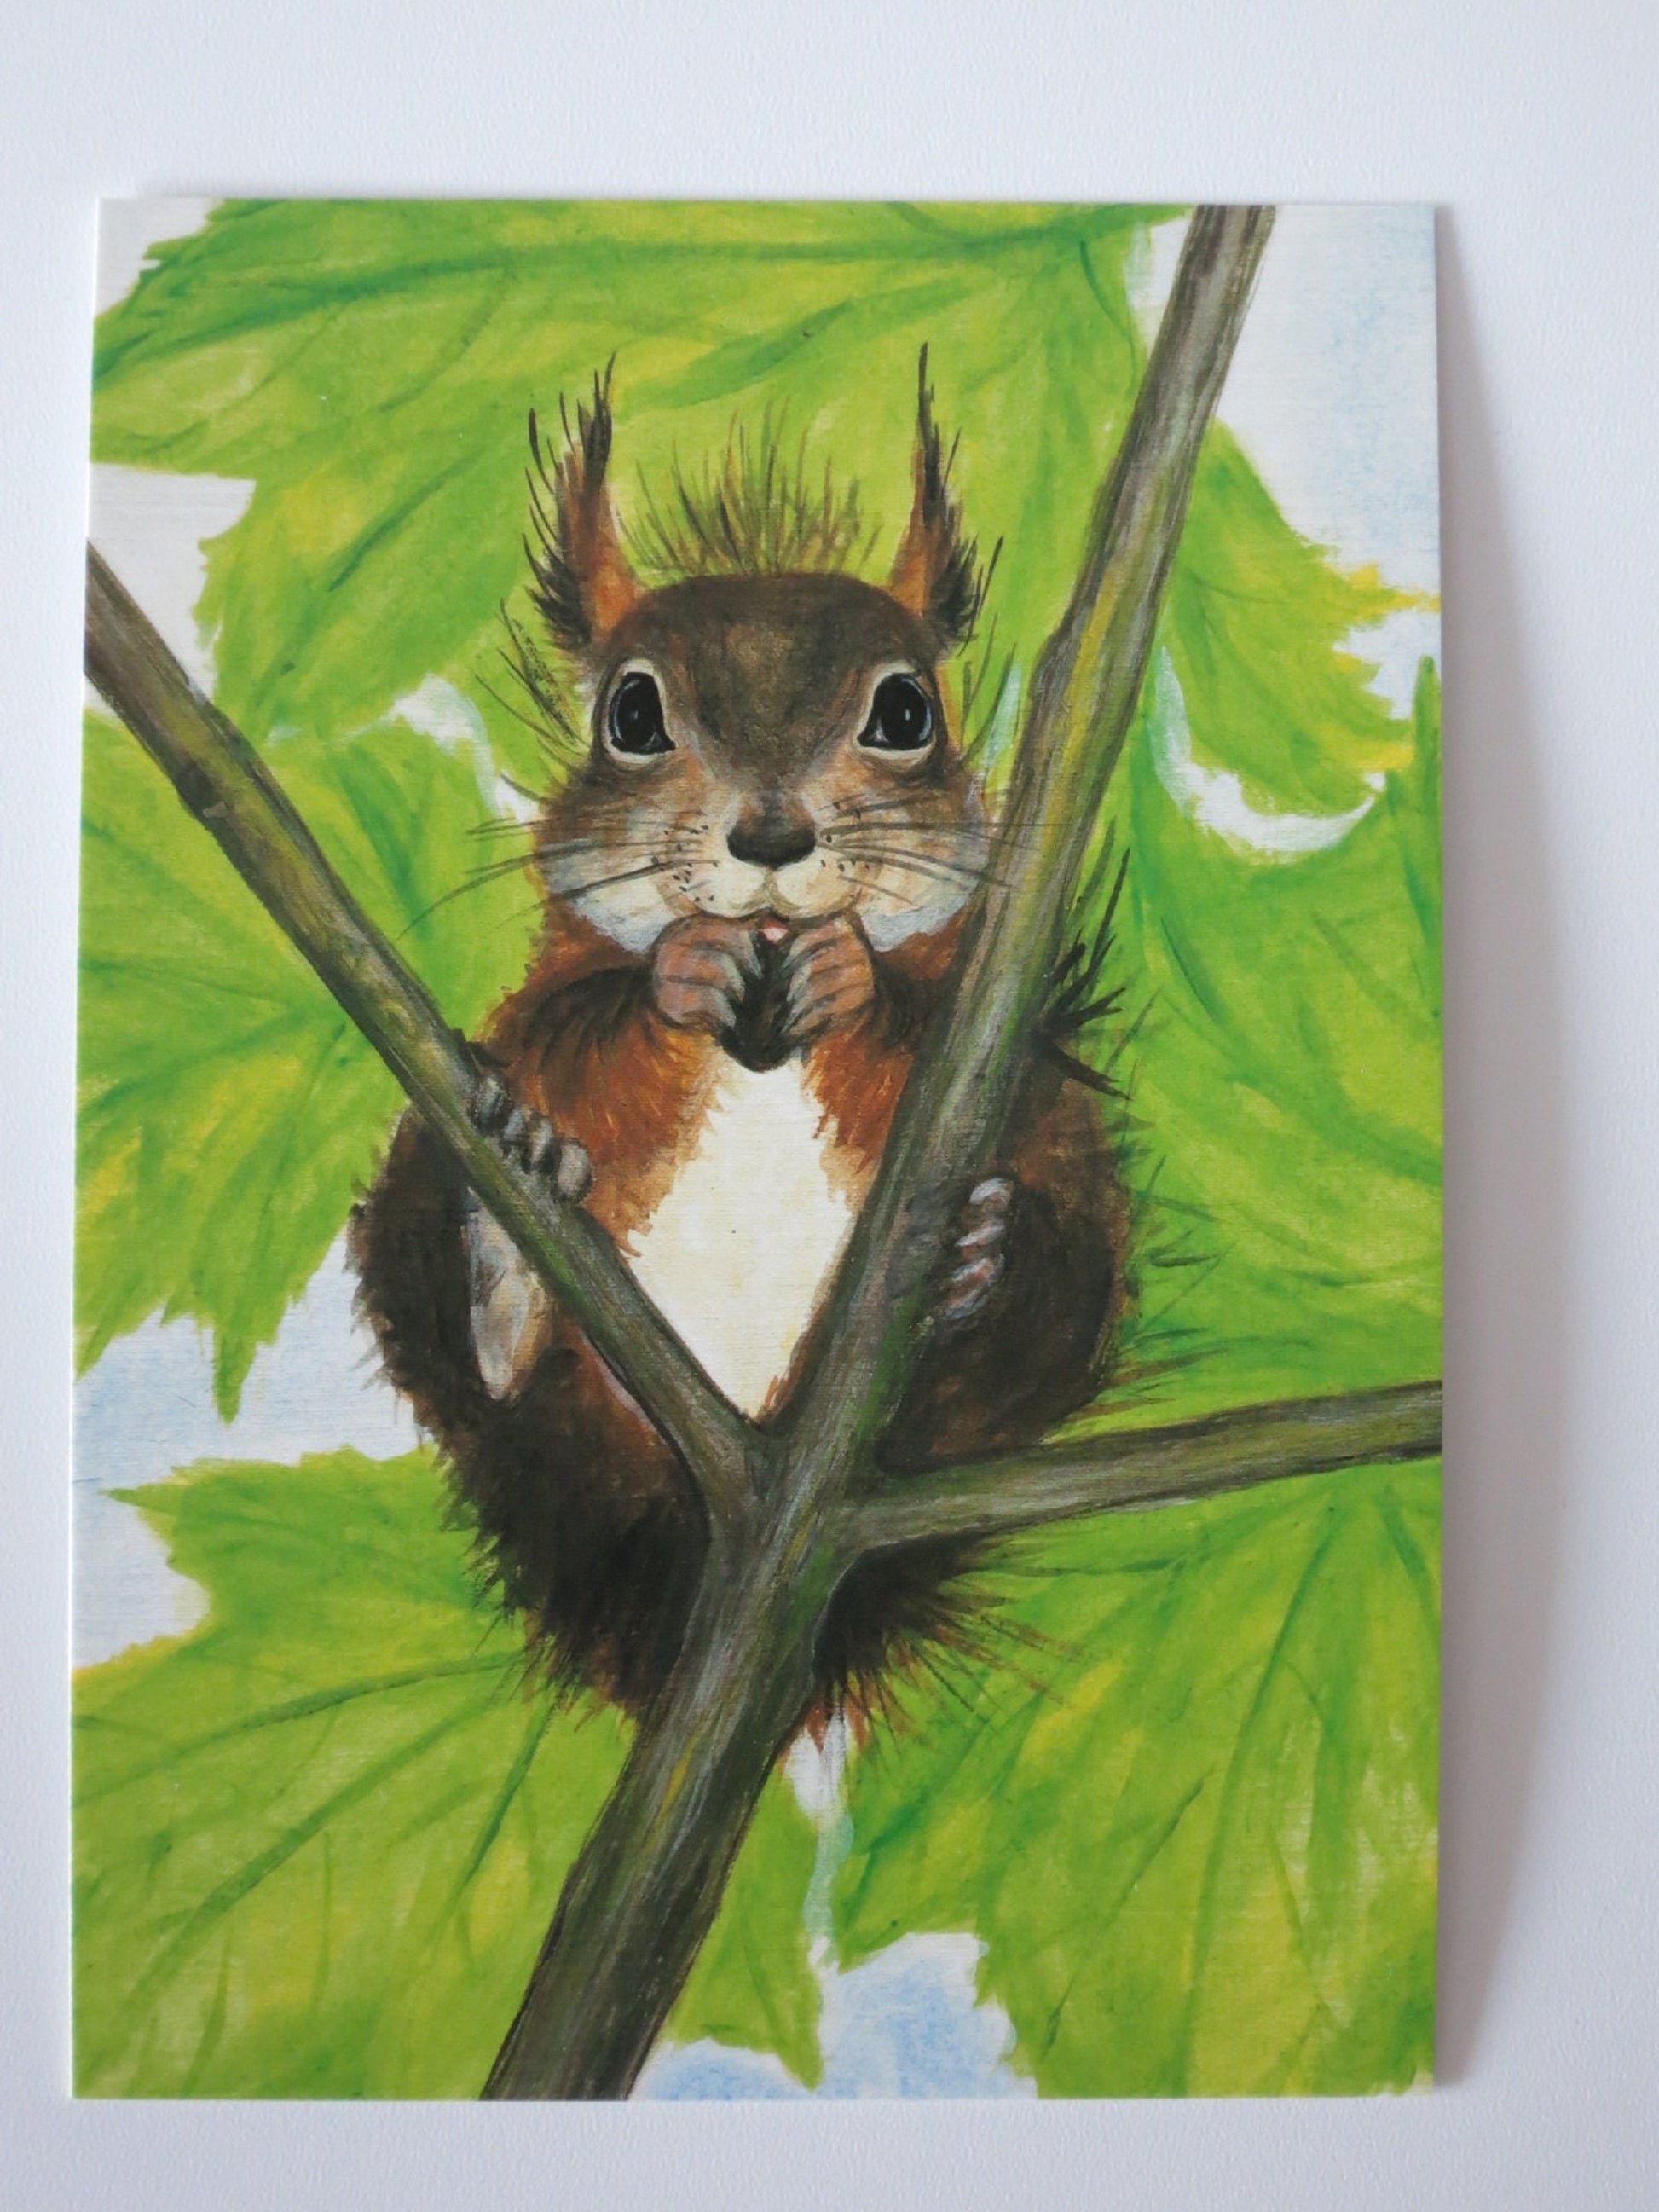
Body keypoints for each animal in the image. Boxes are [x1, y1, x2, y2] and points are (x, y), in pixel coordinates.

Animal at [350, 358, 1130, 1717]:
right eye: (630, 713)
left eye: (905, 709)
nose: (770, 837)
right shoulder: (543, 999)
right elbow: (578, 1017)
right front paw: (680, 972)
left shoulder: (1002, 1029)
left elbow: (930, 1030)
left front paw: (850, 979)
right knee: (473, 1354)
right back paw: (506, 1238)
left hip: (1049, 1238)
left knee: (1046, 1307)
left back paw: (979, 1261)